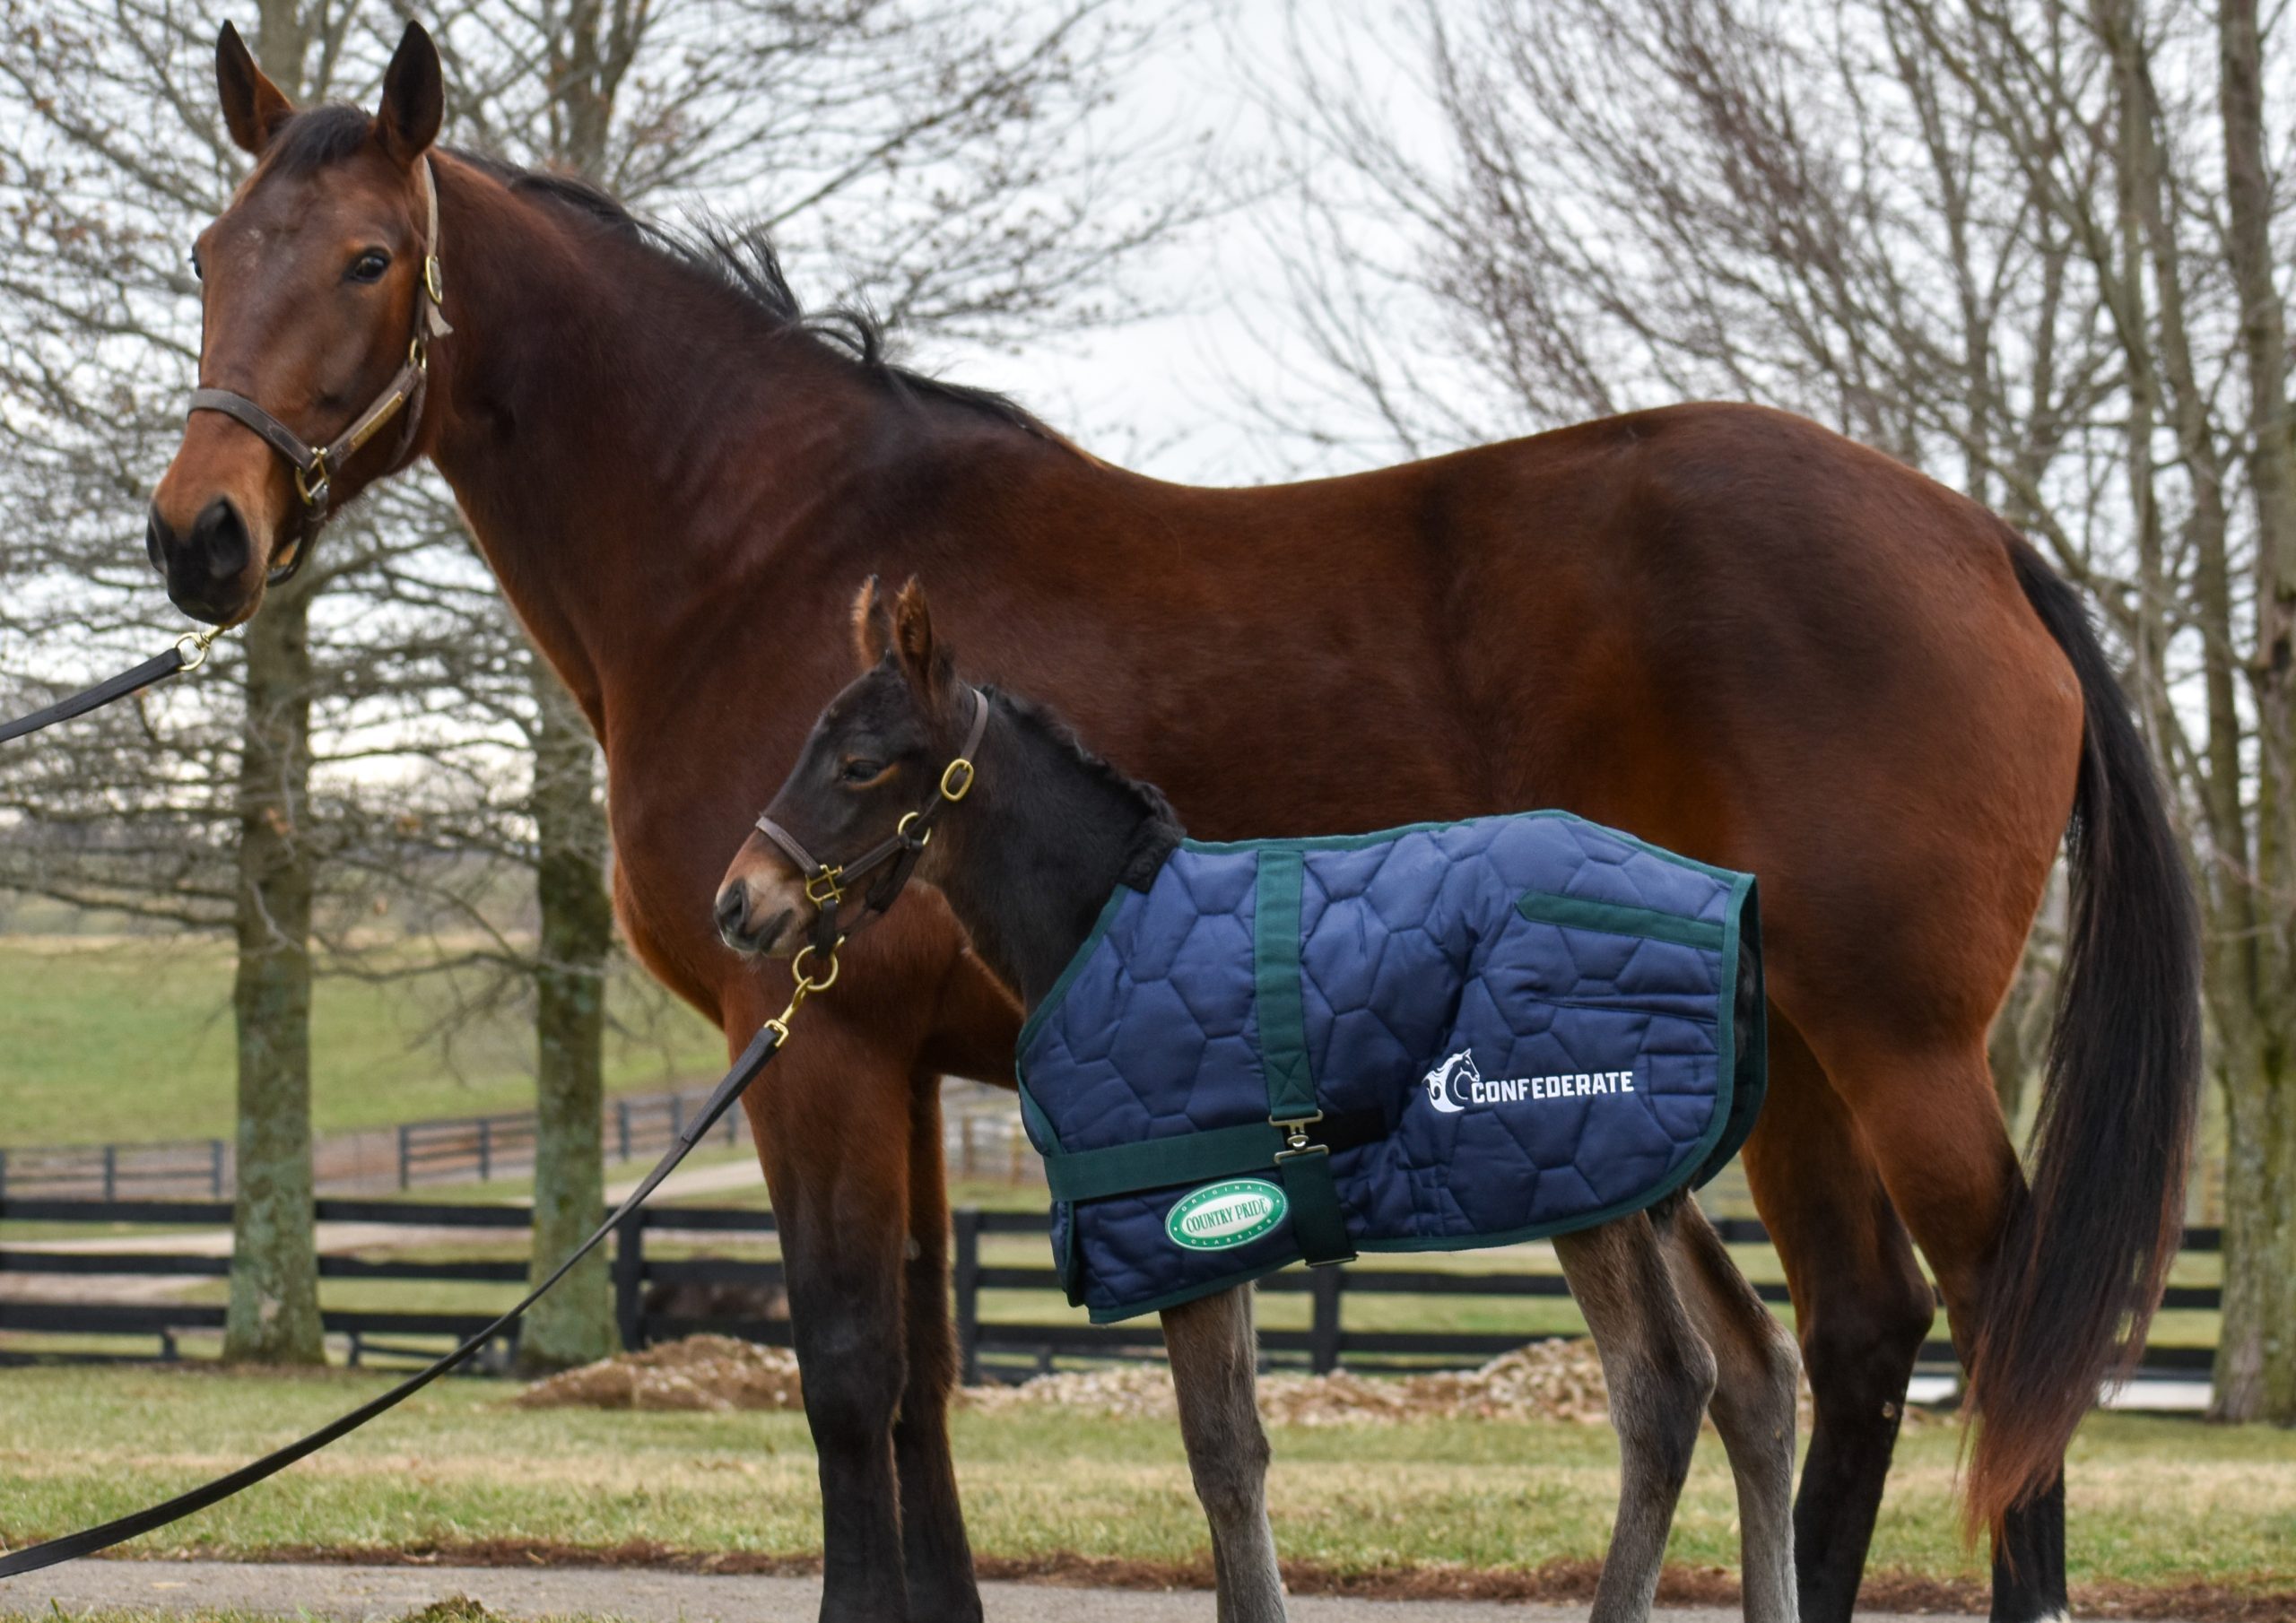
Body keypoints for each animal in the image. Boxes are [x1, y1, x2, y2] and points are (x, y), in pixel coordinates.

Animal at [716, 574, 1805, 1623]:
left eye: (860, 763)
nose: (738, 903)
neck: (1103, 918)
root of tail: (1729, 909)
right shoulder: (1228, 1231)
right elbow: (1237, 1450)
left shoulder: (1180, 1232)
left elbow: (1223, 1456)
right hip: (1647, 1180)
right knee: (1758, 1371)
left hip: (1586, 1184)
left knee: (1665, 1389)